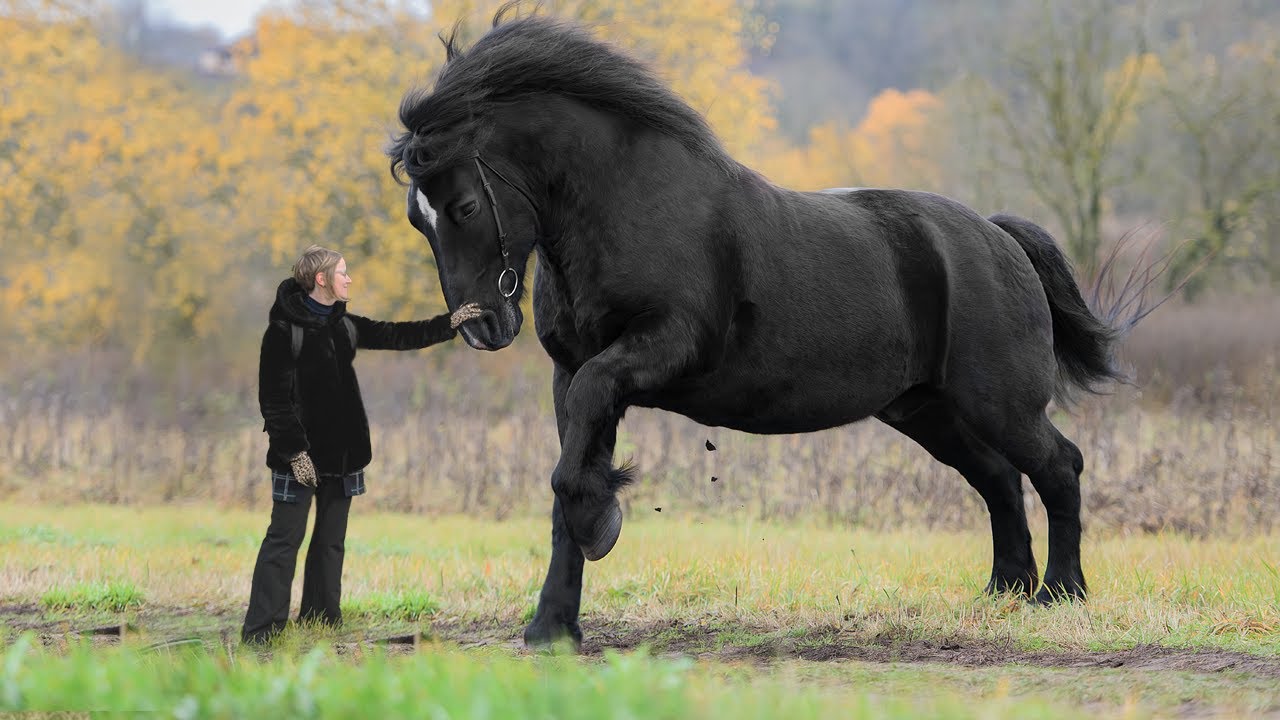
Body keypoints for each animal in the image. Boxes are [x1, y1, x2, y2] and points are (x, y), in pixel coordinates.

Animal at [389, 9, 1131, 645]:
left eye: (462, 205)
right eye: (416, 219)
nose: (482, 327)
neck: (627, 205)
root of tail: (998, 237)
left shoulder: (656, 352)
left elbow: (572, 473)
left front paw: (600, 525)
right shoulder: (572, 374)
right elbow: (566, 476)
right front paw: (552, 627)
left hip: (998, 402)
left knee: (1059, 465)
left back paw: (1060, 593)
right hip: (926, 410)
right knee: (1000, 480)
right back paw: (1005, 590)